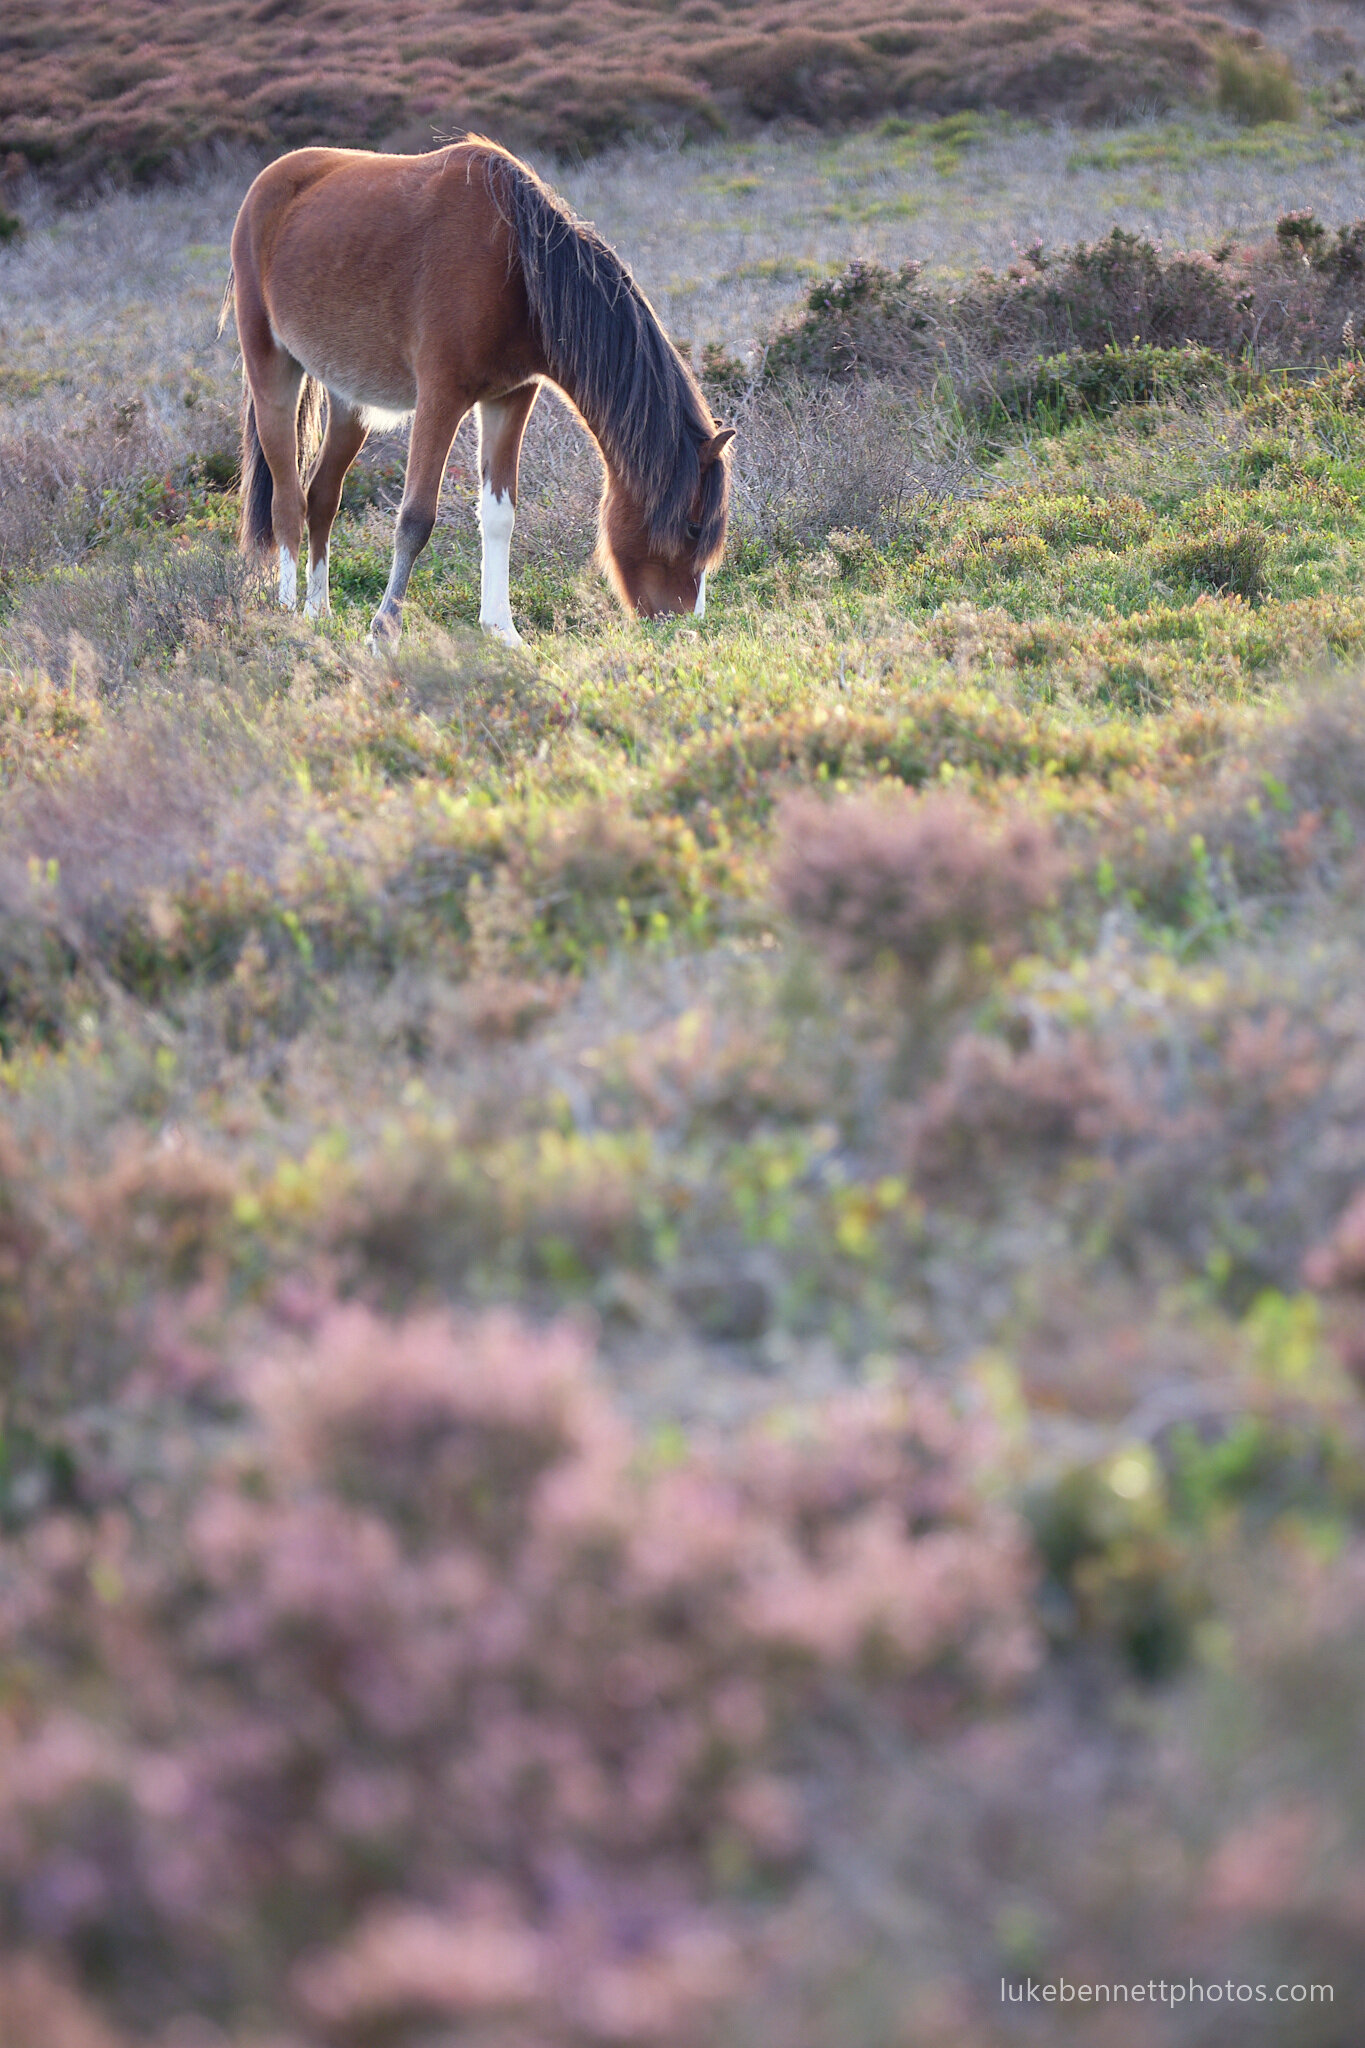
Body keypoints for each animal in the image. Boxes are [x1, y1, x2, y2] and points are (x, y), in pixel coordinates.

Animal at [224, 136, 736, 643]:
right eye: (693, 527)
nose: (686, 624)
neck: (517, 266)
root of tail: (266, 184)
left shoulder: (509, 397)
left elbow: (499, 515)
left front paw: (502, 630)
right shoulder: (441, 396)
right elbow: (416, 518)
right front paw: (385, 630)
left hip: (351, 402)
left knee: (322, 496)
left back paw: (318, 611)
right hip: (272, 372)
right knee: (286, 501)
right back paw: (288, 612)